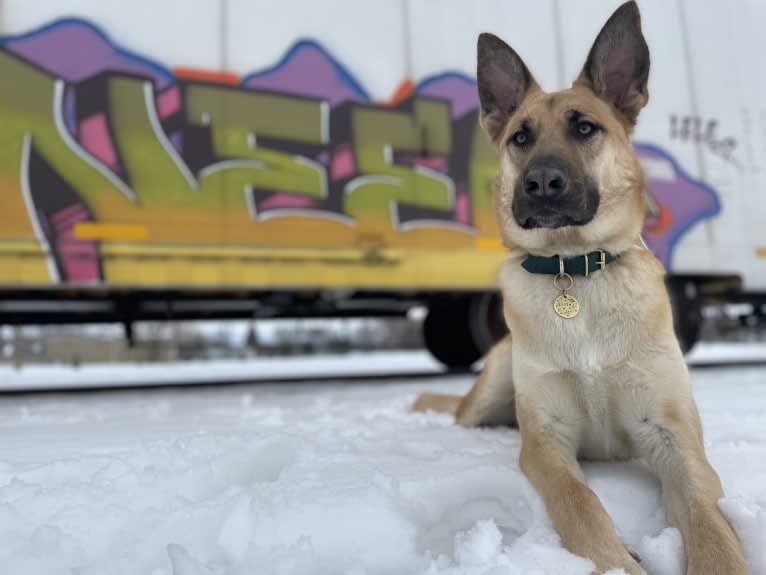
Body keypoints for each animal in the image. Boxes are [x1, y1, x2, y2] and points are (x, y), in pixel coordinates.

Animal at [414, 2, 752, 572]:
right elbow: (580, 504)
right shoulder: (546, 442)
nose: (541, 182)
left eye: (585, 128)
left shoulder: (675, 437)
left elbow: (709, 518)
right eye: (521, 138)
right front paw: (617, 559)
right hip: (491, 391)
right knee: (466, 414)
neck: (574, 268)